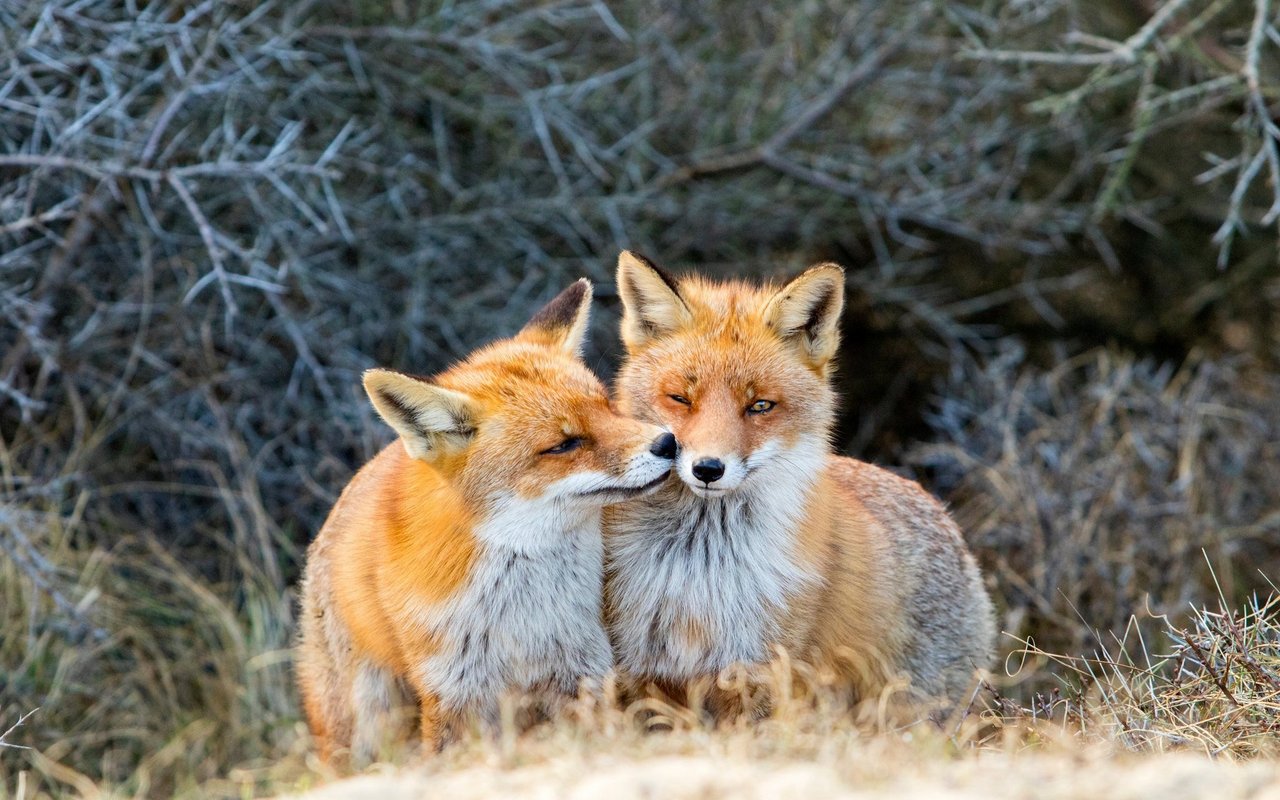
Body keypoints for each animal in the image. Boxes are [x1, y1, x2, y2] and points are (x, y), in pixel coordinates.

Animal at [296, 280, 680, 762]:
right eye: (564, 444)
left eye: (607, 406)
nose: (668, 443)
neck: (518, 610)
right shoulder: (453, 690)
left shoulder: (581, 668)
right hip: (367, 723)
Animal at [604, 252, 993, 716]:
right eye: (680, 398)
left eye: (760, 406)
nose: (708, 469)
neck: (699, 571)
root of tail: (944, 516)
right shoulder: (642, 674)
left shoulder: (762, 675)